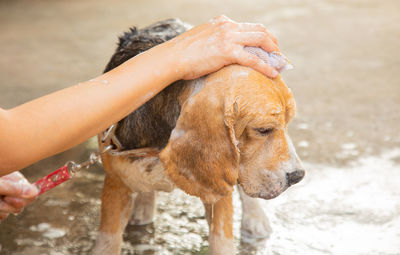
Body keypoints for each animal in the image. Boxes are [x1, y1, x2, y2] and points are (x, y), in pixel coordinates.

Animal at [94, 19, 304, 255]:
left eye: (288, 123)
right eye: (263, 130)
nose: (298, 176)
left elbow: (221, 241)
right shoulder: (115, 183)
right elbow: (108, 241)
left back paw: (255, 221)